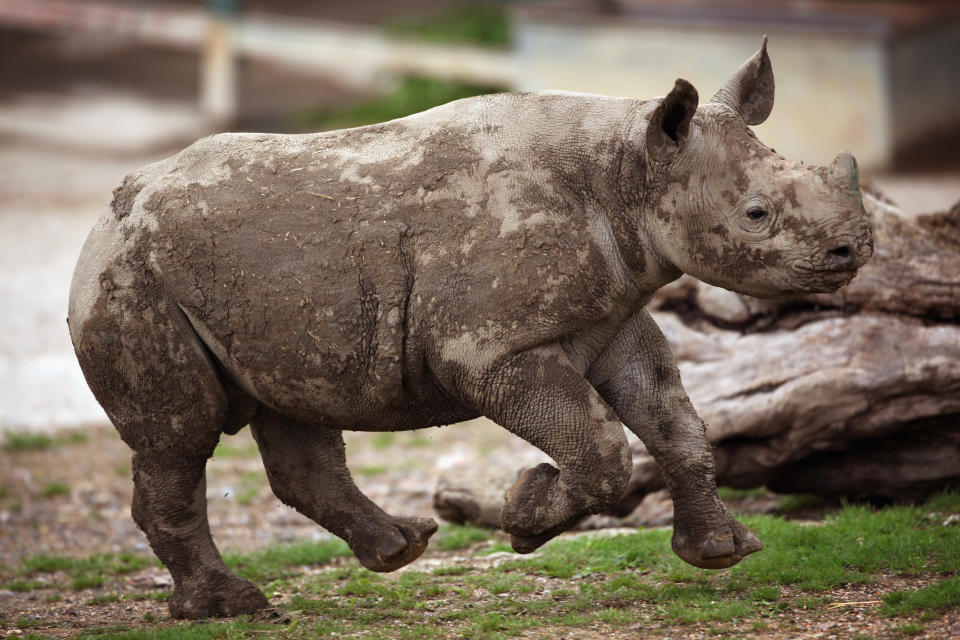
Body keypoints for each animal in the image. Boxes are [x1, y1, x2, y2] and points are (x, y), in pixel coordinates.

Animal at [71, 37, 872, 616]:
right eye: (756, 215)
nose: (853, 249)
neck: (632, 172)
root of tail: (108, 212)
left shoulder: (615, 318)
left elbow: (675, 422)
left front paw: (723, 551)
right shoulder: (491, 350)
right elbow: (603, 449)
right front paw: (524, 518)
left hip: (241, 279)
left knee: (293, 404)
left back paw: (400, 548)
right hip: (134, 276)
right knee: (180, 436)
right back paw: (231, 606)